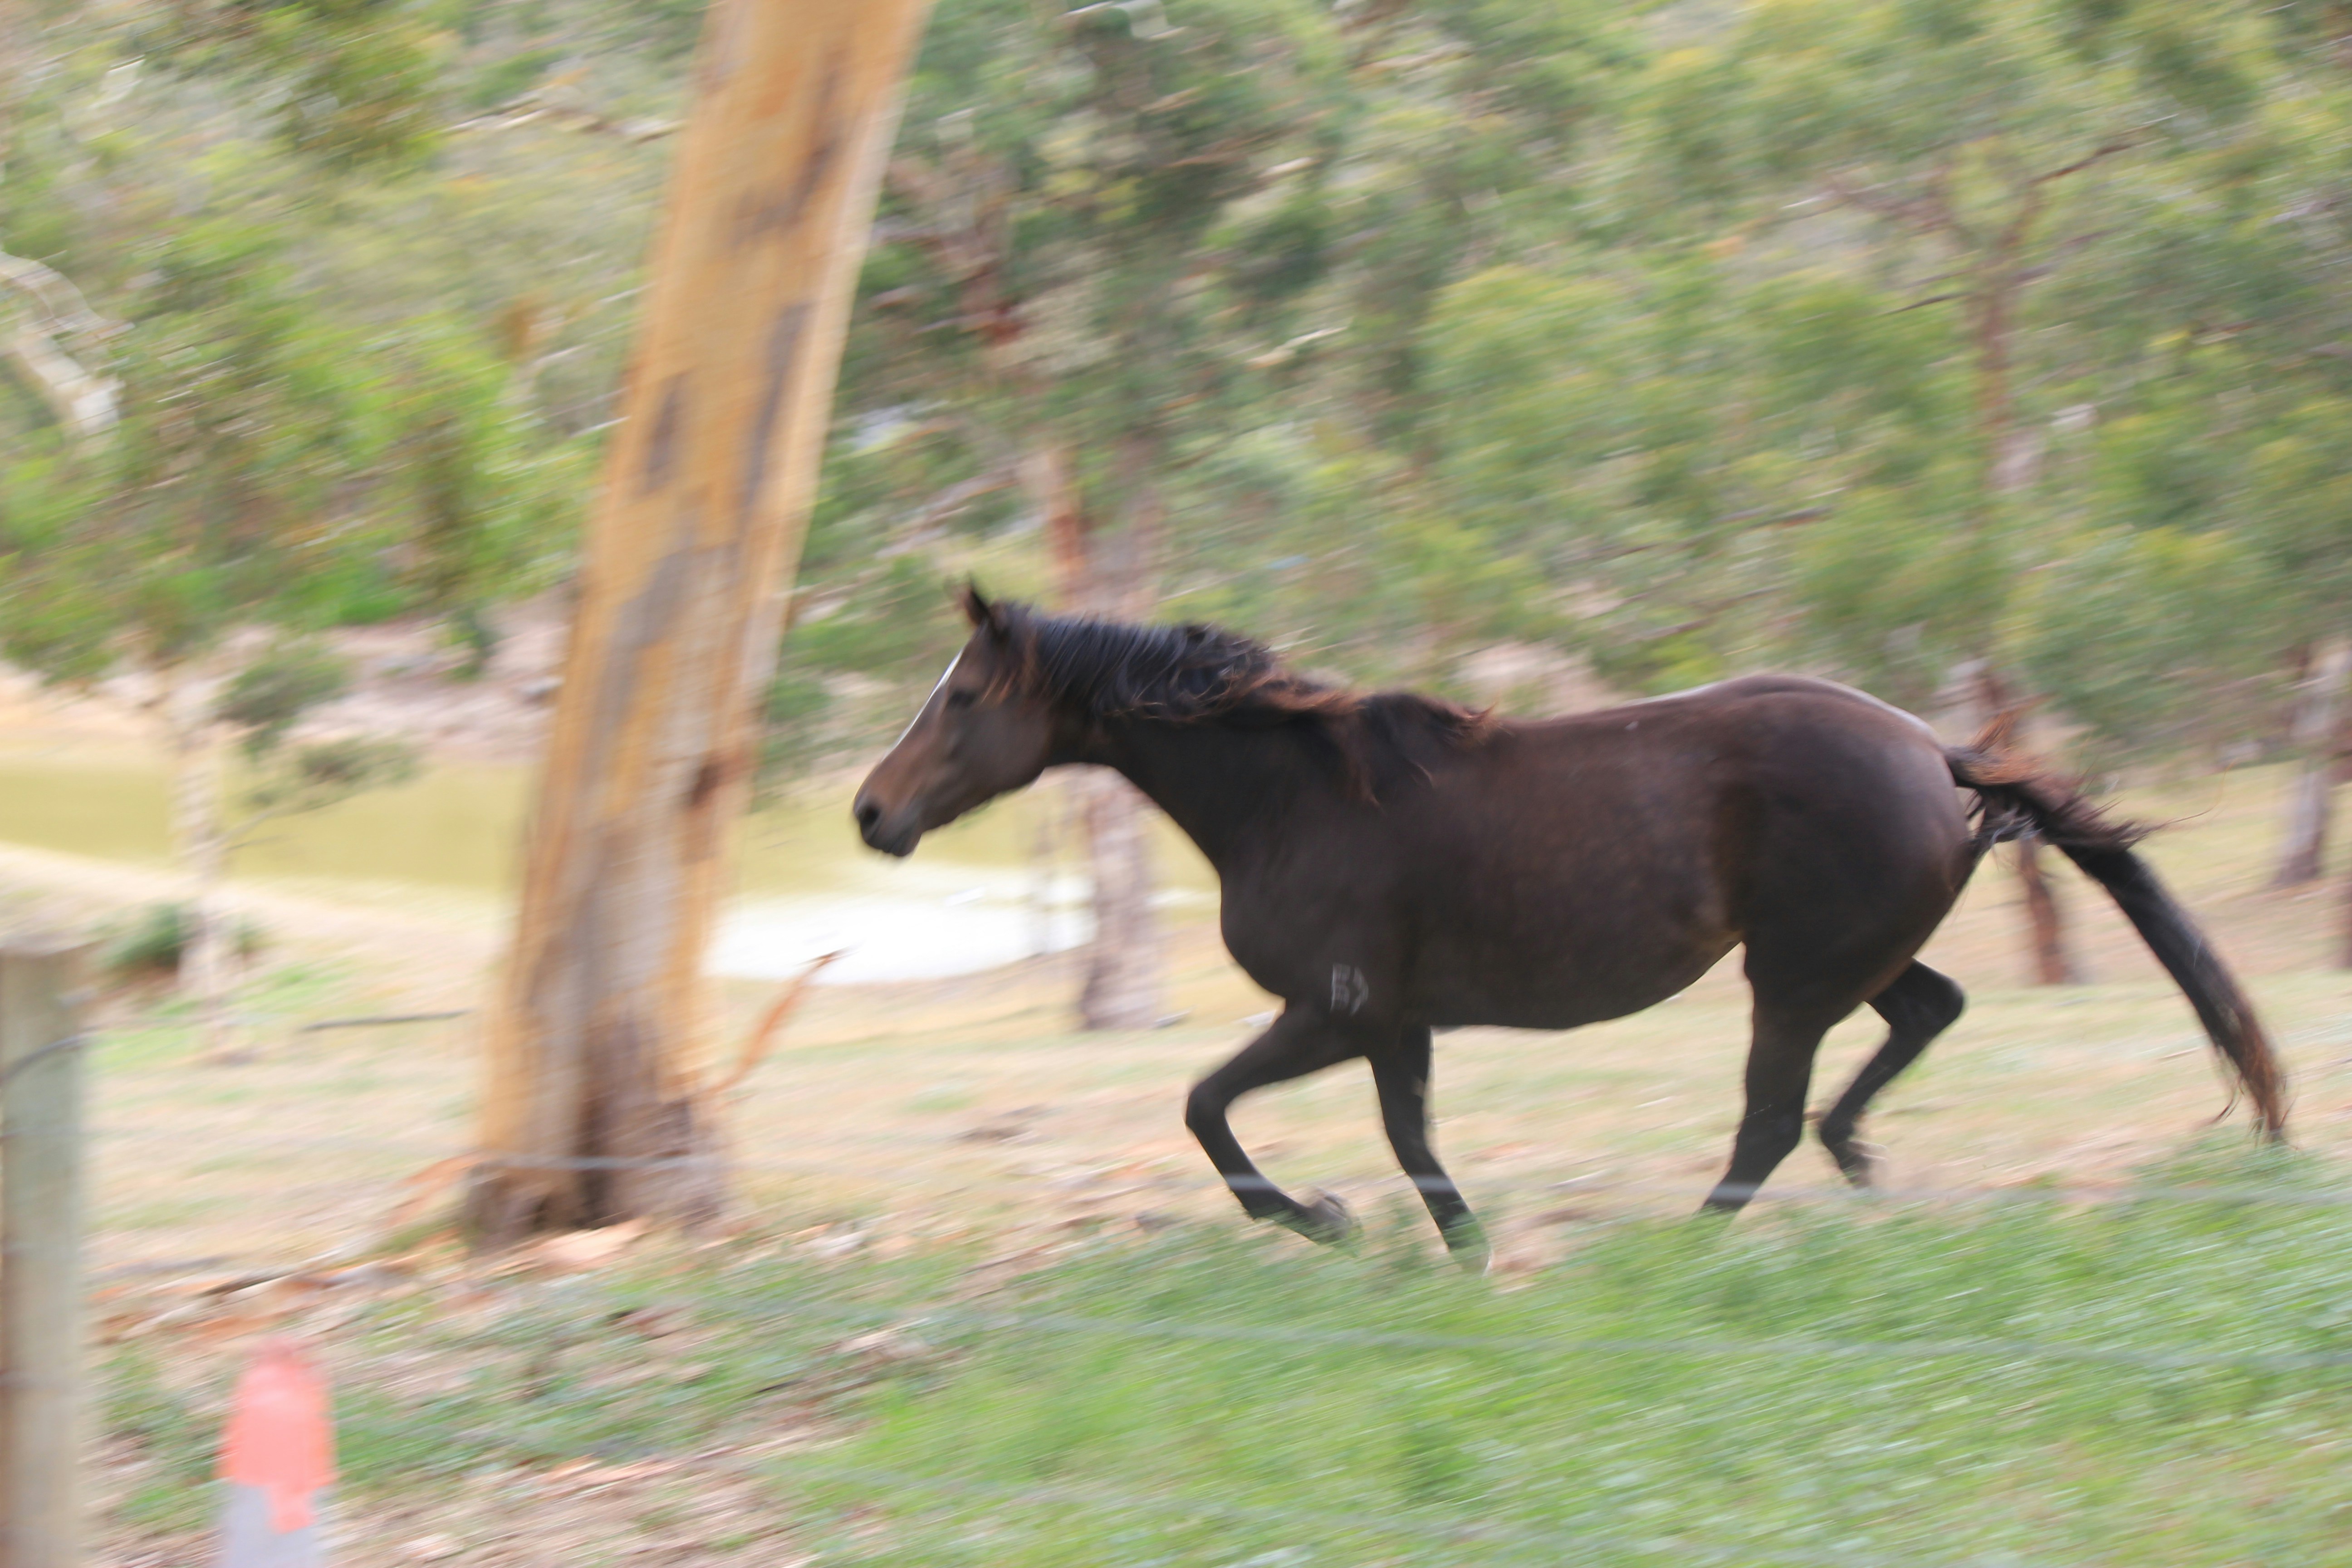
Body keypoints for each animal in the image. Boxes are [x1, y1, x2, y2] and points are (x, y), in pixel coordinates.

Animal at [853, 588, 2286, 1264]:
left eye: (964, 695)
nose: (872, 813)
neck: (1291, 796)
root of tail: (1938, 752)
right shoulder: (1396, 1024)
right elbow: (1412, 1144)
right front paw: (1462, 1256)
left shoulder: (1330, 1009)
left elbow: (1207, 1108)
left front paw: (1327, 1219)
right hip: (1838, 960)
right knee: (1925, 1014)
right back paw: (1857, 1154)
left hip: (1790, 979)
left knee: (1767, 1120)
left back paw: (1693, 1245)